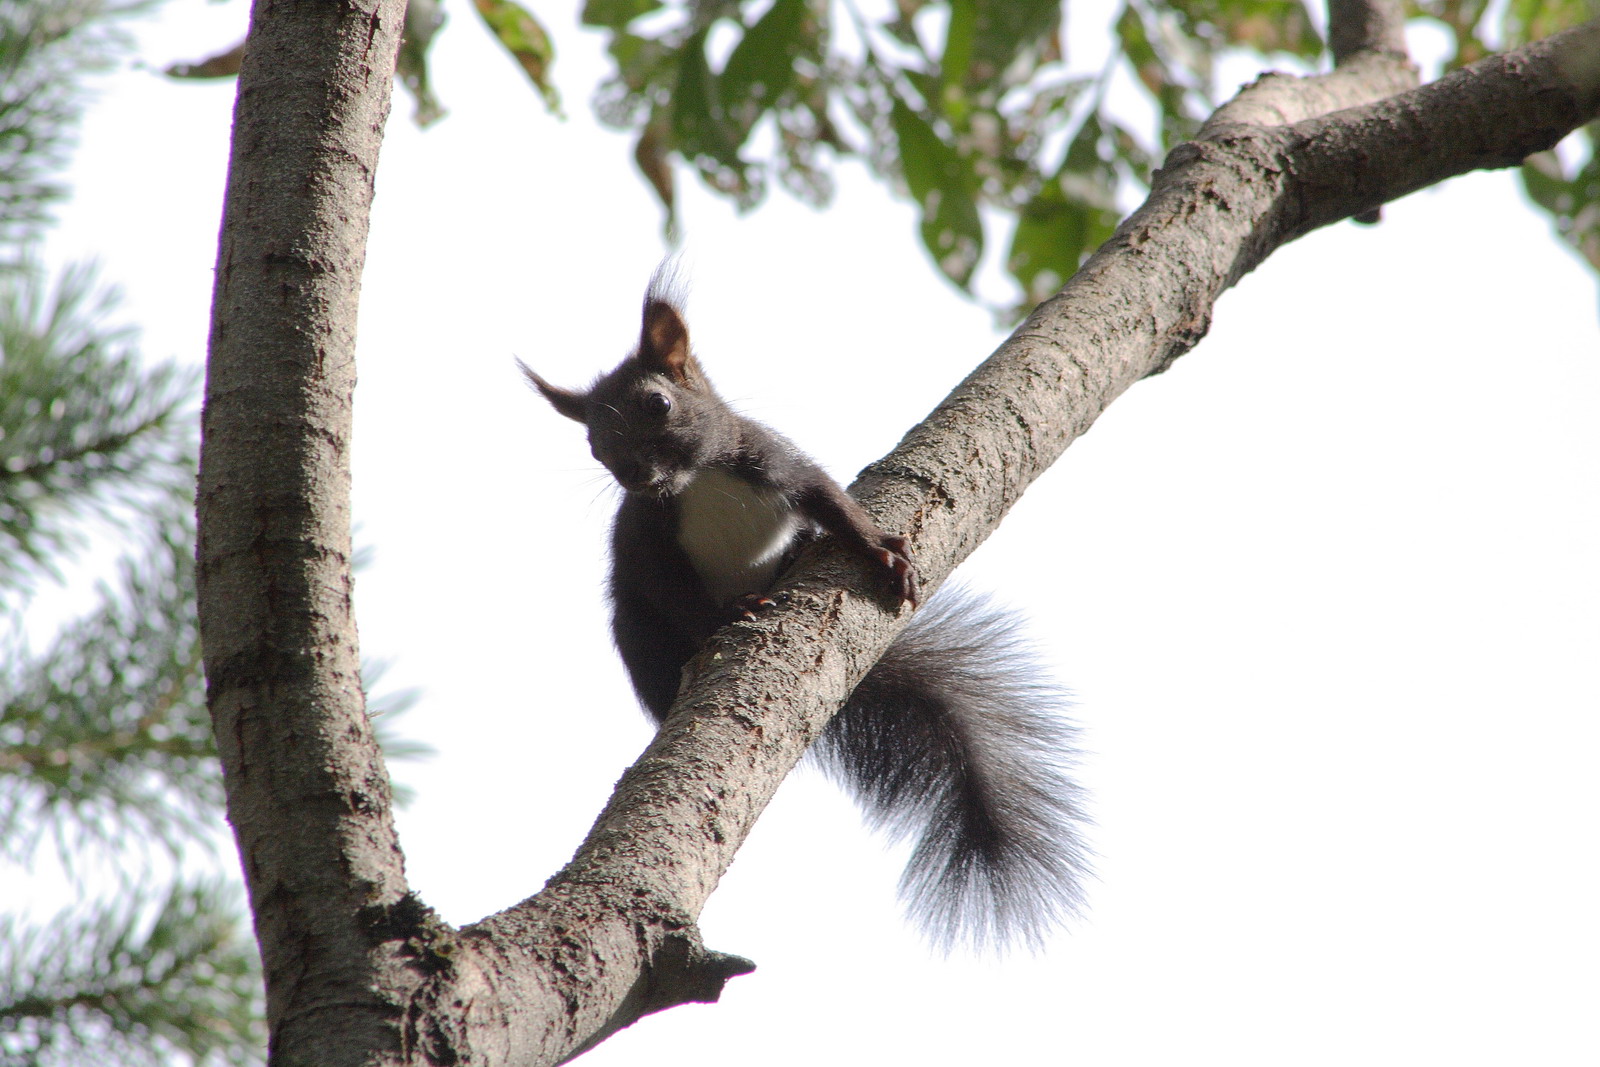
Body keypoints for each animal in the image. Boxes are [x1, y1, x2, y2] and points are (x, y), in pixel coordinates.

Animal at [521, 275, 1088, 953]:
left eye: (657, 404)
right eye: (592, 443)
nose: (635, 474)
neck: (696, 481)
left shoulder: (774, 462)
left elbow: (829, 499)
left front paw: (878, 549)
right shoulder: (646, 537)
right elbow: (669, 590)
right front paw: (730, 613)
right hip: (635, 634)